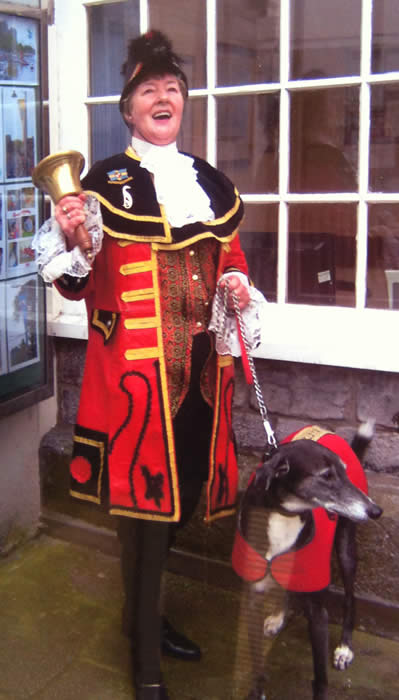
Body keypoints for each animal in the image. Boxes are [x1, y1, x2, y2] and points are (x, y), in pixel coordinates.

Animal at [233, 422, 382, 700]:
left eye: (343, 472)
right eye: (326, 476)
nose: (376, 511)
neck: (285, 514)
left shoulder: (318, 612)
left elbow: (321, 676)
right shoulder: (251, 600)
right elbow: (256, 662)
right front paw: (257, 691)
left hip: (346, 549)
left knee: (350, 598)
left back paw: (345, 648)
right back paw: (279, 616)